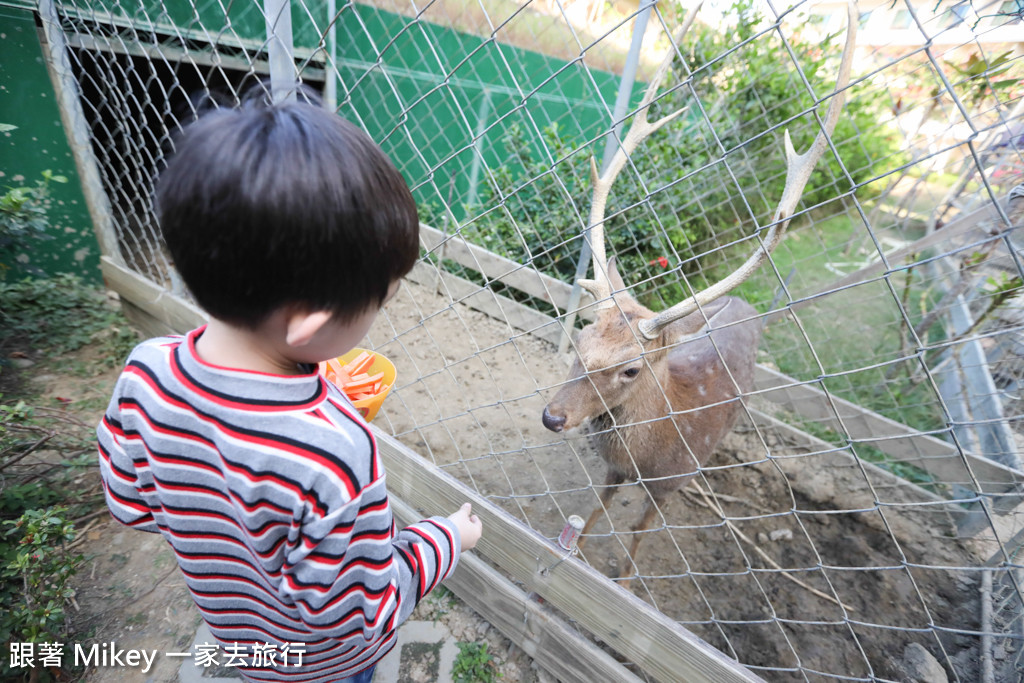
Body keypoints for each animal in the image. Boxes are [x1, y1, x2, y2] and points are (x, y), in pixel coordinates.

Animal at [540, 0, 860, 581]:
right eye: (580, 339)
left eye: (630, 369)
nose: (554, 416)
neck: (650, 453)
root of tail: (748, 305)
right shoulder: (614, 471)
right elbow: (596, 508)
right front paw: (571, 554)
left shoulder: (674, 479)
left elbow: (638, 532)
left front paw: (622, 579)